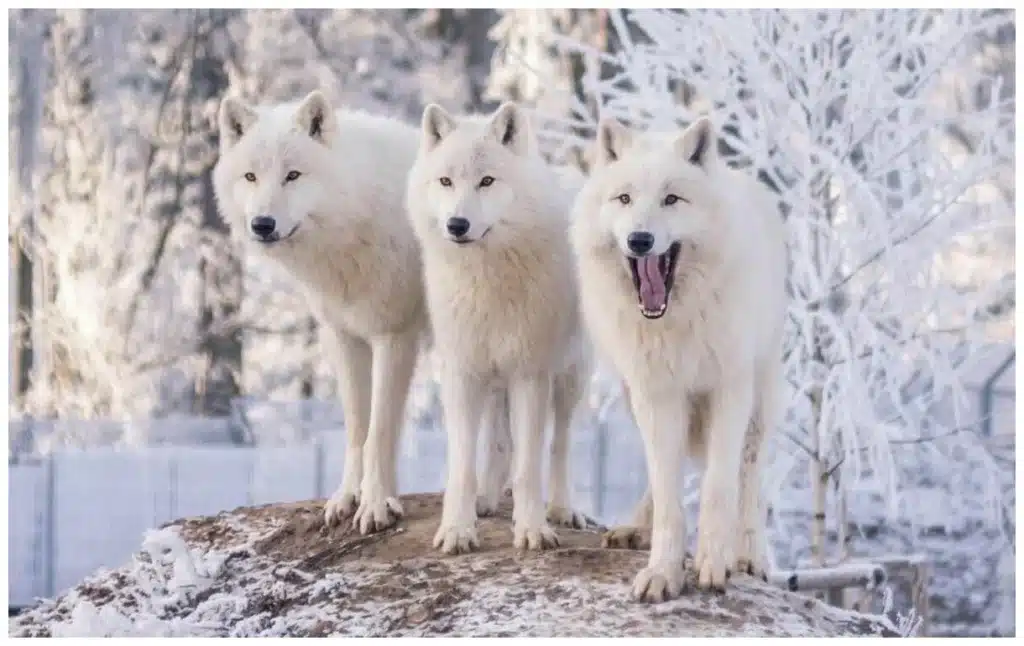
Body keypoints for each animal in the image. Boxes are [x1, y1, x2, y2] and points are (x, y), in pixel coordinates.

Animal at [213, 90, 428, 536]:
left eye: (293, 175)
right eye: (250, 177)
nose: (262, 224)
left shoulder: (394, 336)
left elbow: (379, 430)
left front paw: (375, 504)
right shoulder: (344, 338)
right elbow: (358, 427)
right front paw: (350, 498)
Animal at [406, 101, 591, 554]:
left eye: (487, 181)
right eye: (446, 181)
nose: (456, 225)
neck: (485, 279)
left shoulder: (530, 374)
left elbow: (529, 467)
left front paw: (532, 530)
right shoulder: (462, 372)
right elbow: (463, 465)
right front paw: (458, 529)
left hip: (570, 377)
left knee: (559, 444)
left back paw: (563, 508)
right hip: (493, 381)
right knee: (498, 441)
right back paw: (487, 500)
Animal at [569, 116, 788, 602]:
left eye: (672, 199)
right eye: (625, 198)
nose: (640, 239)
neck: (676, 320)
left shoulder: (728, 390)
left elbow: (718, 488)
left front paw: (714, 564)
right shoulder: (658, 395)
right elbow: (668, 492)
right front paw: (663, 573)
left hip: (760, 400)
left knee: (751, 478)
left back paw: (751, 554)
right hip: (633, 399)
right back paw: (635, 528)